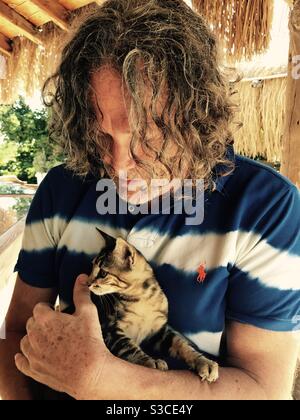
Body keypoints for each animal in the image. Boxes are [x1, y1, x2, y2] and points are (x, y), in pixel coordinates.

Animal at [86, 228, 218, 382]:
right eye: (92, 267)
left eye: (103, 273)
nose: (87, 283)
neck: (142, 300)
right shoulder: (111, 329)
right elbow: (130, 348)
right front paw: (151, 362)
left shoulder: (159, 331)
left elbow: (181, 344)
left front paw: (204, 362)